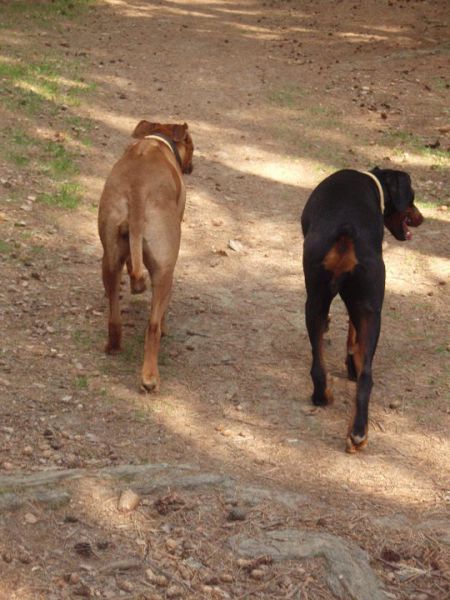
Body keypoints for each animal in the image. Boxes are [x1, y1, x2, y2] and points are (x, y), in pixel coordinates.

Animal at [98, 120, 194, 392]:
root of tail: (138, 190)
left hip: (109, 259)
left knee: (114, 313)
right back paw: (150, 377)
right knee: (153, 325)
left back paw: (113, 345)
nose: (192, 167)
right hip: (165, 272)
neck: (156, 142)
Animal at [301, 168, 423, 452]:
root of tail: (346, 228)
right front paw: (351, 361)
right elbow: (352, 334)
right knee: (366, 375)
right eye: (412, 195)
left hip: (318, 301)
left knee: (321, 365)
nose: (421, 218)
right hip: (371, 311)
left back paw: (332, 405)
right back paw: (358, 432)